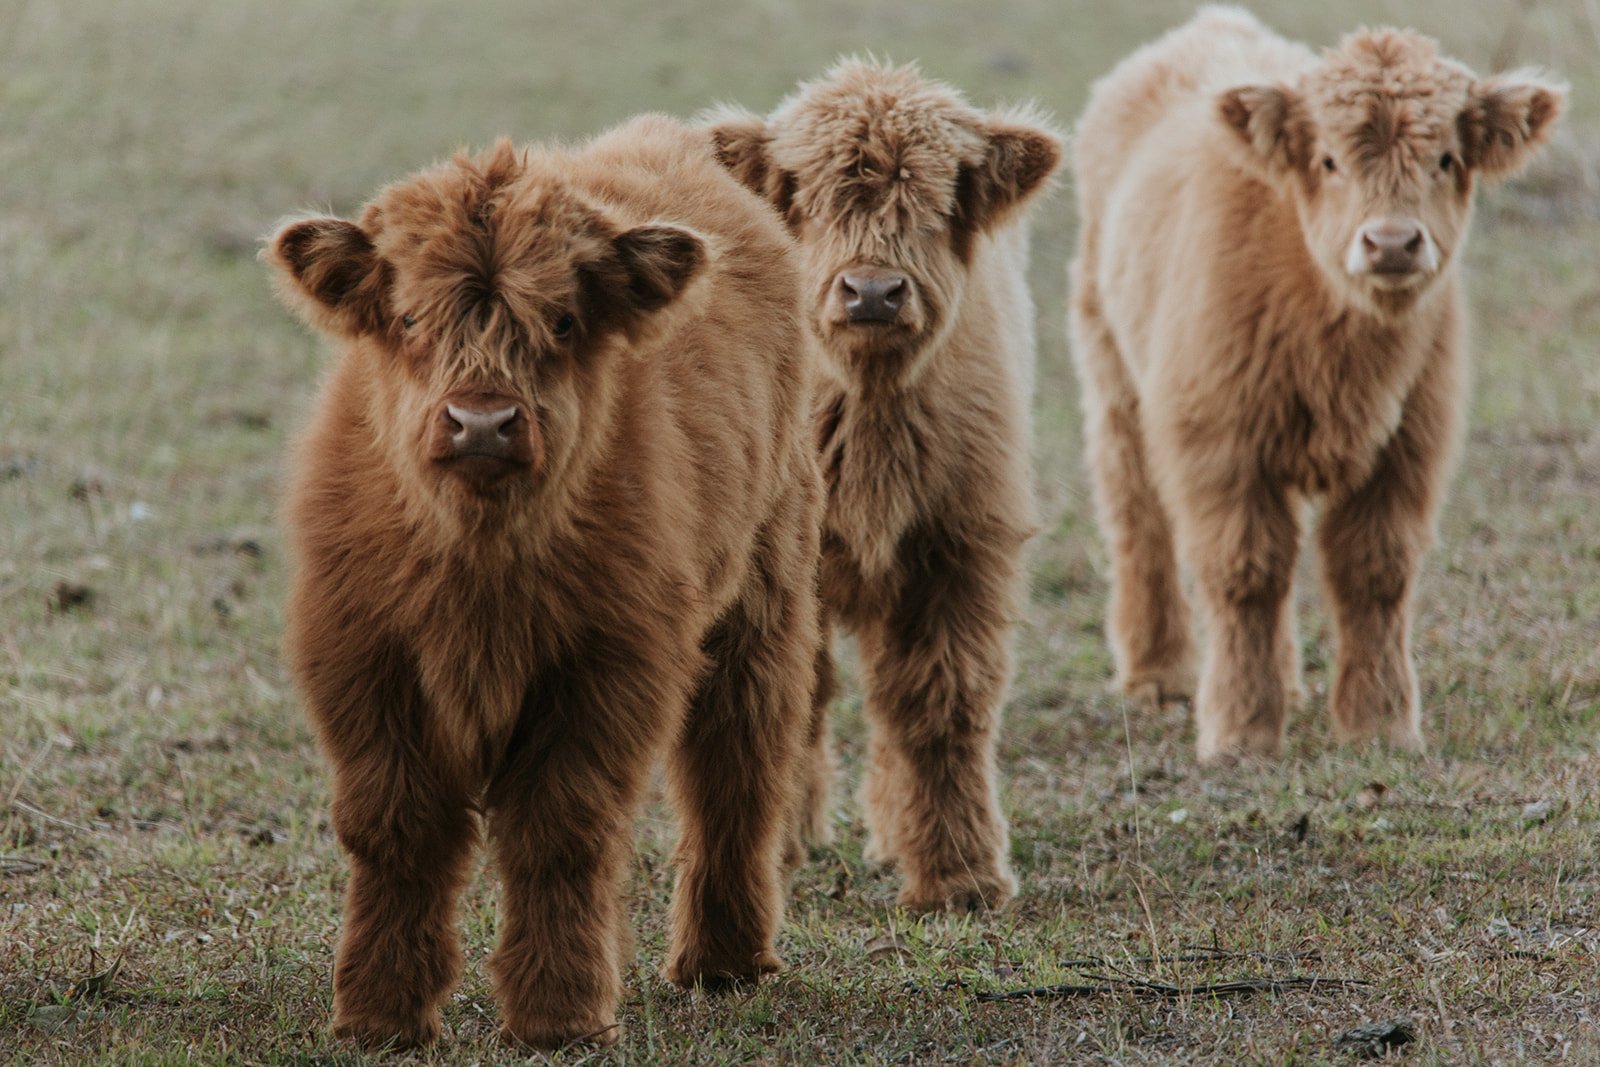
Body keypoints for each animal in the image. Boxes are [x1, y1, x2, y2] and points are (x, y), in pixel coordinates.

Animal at [265, 117, 824, 1049]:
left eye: (561, 319)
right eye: (409, 315)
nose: (482, 421)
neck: (481, 559)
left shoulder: (609, 666)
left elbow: (560, 831)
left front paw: (559, 1013)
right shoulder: (360, 657)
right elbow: (396, 828)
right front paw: (380, 1011)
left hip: (763, 596)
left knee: (737, 768)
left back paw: (725, 958)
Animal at [707, 59, 1062, 912]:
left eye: (937, 203)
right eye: (807, 196)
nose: (872, 292)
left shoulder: (960, 545)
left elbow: (940, 703)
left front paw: (960, 875)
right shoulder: (785, 565)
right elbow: (795, 699)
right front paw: (778, 847)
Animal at [1068, 7, 1565, 762]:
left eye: (1446, 159)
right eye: (1329, 160)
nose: (1391, 243)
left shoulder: (1410, 444)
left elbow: (1374, 571)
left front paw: (1380, 724)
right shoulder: (1218, 438)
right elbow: (1244, 572)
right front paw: (1241, 729)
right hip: (1113, 373)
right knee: (1136, 514)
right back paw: (1158, 674)